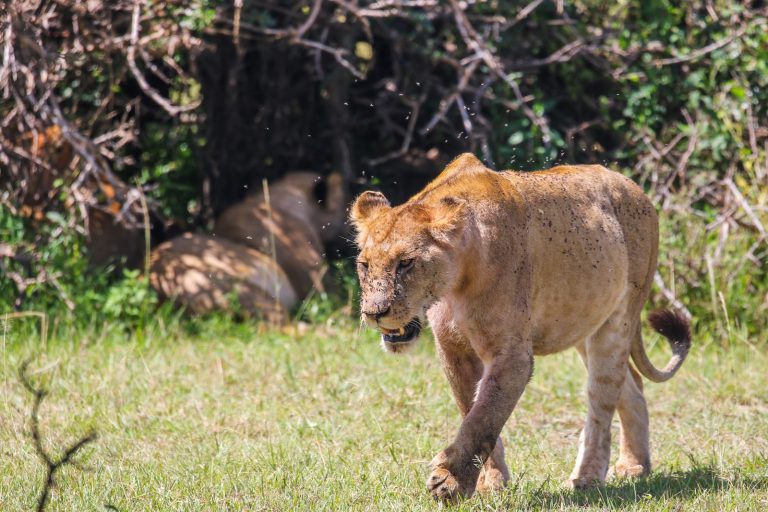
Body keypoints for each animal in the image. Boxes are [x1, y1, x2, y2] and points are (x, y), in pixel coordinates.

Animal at [349, 153, 691, 502]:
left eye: (406, 263)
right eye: (364, 265)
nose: (374, 312)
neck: (457, 280)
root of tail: (636, 189)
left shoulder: (512, 355)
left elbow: (484, 417)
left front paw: (450, 482)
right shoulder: (453, 348)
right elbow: (471, 409)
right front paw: (491, 482)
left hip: (618, 320)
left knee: (602, 398)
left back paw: (587, 478)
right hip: (584, 322)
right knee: (632, 385)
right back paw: (634, 466)